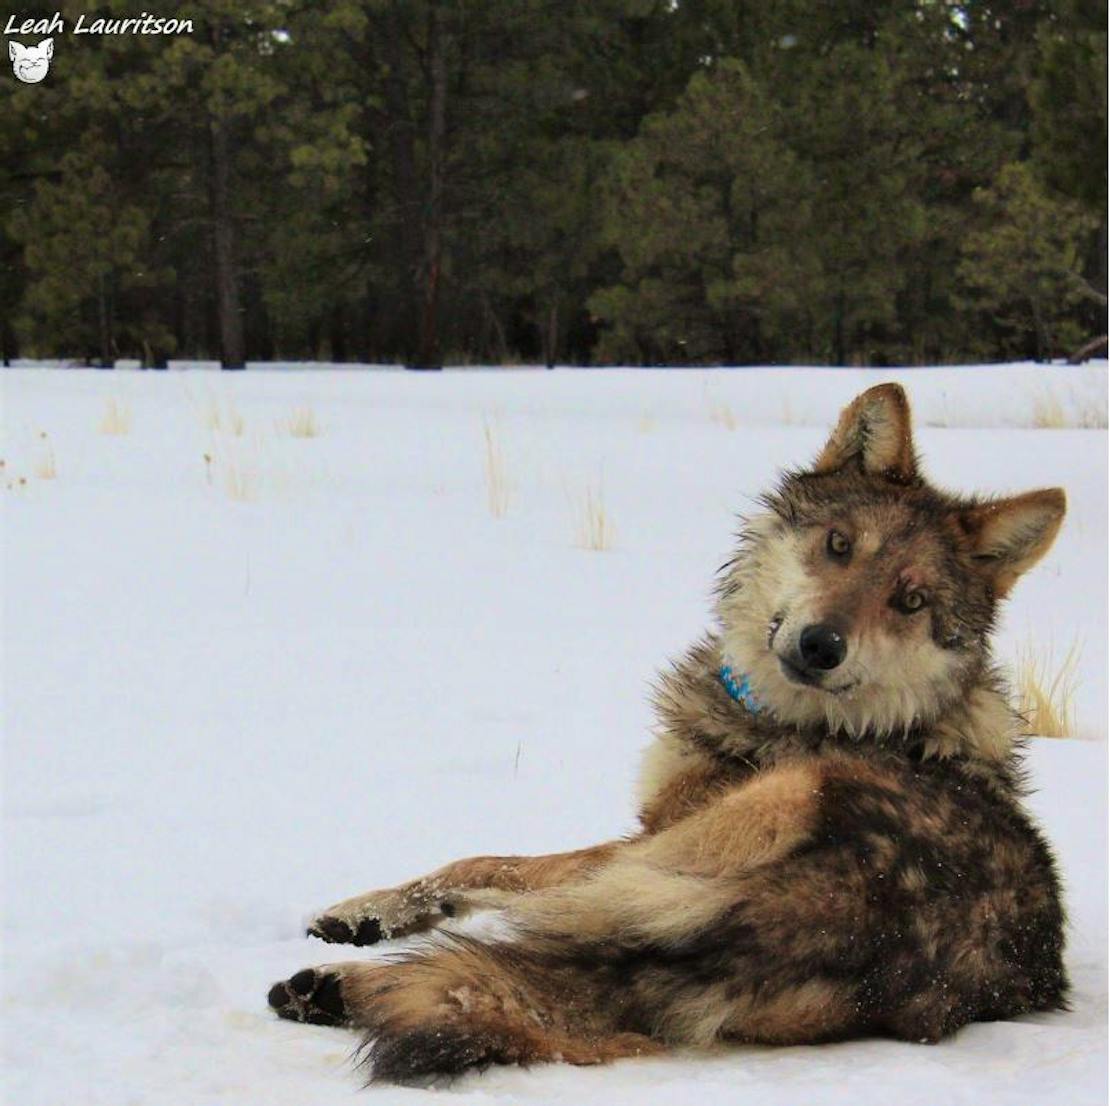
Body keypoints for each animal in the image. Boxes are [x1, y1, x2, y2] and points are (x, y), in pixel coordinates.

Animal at [266, 384, 1065, 1083]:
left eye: (911, 600)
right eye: (840, 545)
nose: (821, 646)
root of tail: (850, 908)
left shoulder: (644, 831)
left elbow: (484, 861)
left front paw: (362, 911)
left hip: (680, 851)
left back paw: (330, 982)